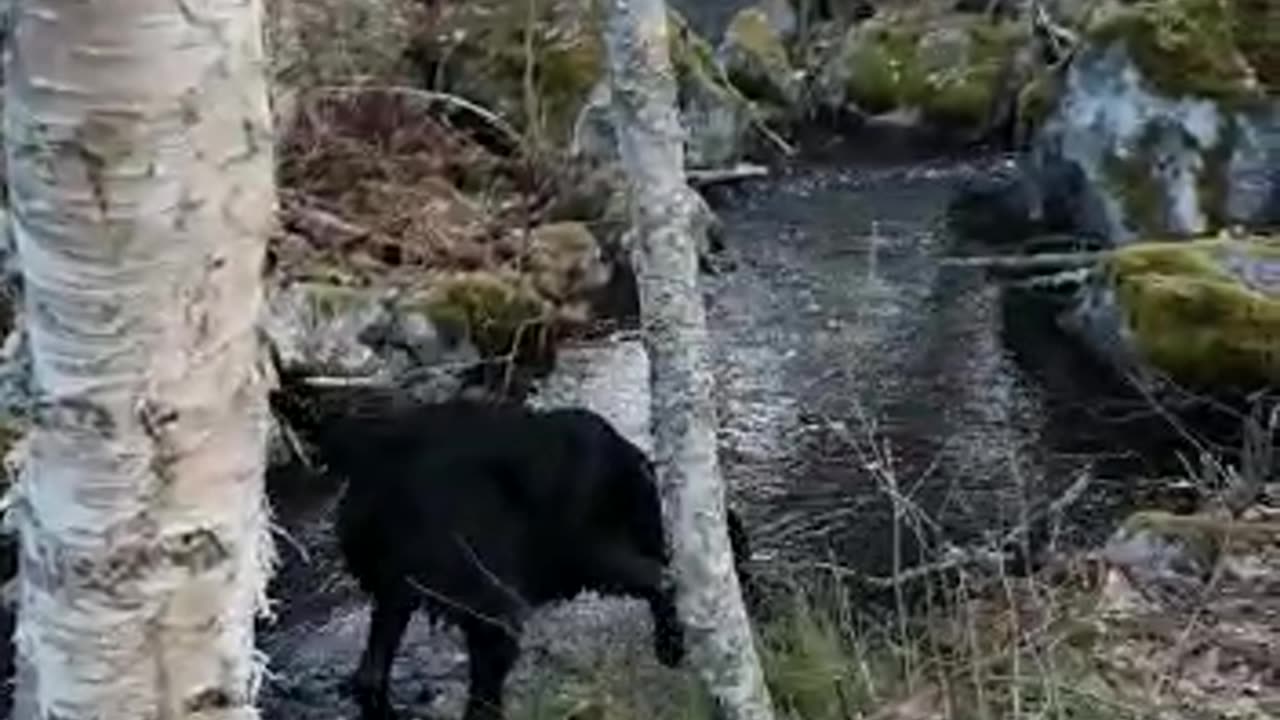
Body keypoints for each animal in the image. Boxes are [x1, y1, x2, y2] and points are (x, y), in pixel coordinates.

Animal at [270, 384, 747, 717]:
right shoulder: (590, 553)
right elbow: (664, 583)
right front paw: (671, 645)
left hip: (398, 593)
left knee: (370, 675)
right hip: (487, 596)